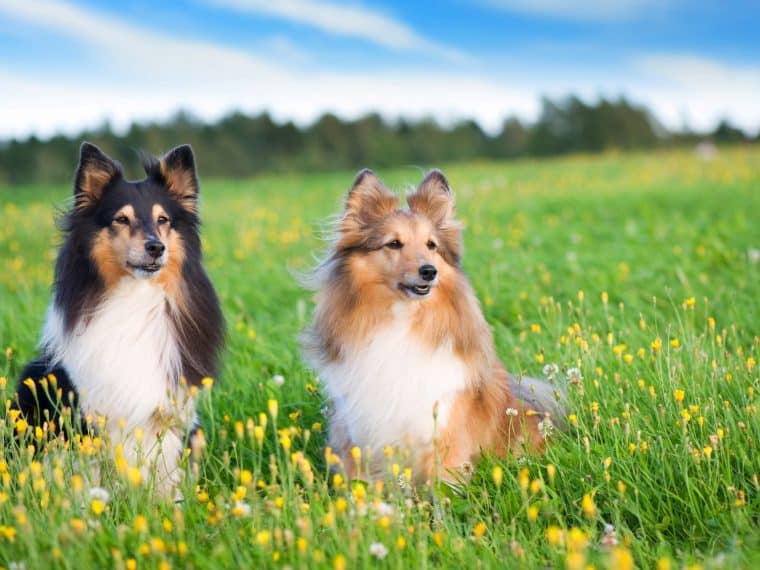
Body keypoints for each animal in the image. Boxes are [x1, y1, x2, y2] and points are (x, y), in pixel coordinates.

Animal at [15, 142, 223, 492]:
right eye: (121, 219)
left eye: (163, 219)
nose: (156, 247)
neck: (135, 299)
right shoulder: (89, 411)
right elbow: (90, 474)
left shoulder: (167, 410)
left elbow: (165, 473)